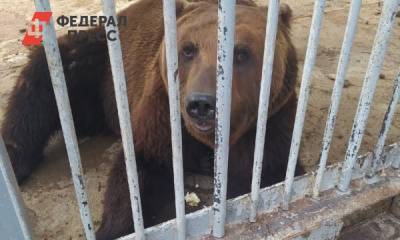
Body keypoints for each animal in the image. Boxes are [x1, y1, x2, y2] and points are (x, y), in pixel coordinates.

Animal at [0, 0, 304, 237]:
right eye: (188, 49)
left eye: (241, 53)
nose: (202, 104)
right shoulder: (163, 115)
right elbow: (137, 175)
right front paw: (114, 228)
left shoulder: (271, 120)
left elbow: (270, 172)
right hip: (95, 69)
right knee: (39, 86)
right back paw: (16, 162)